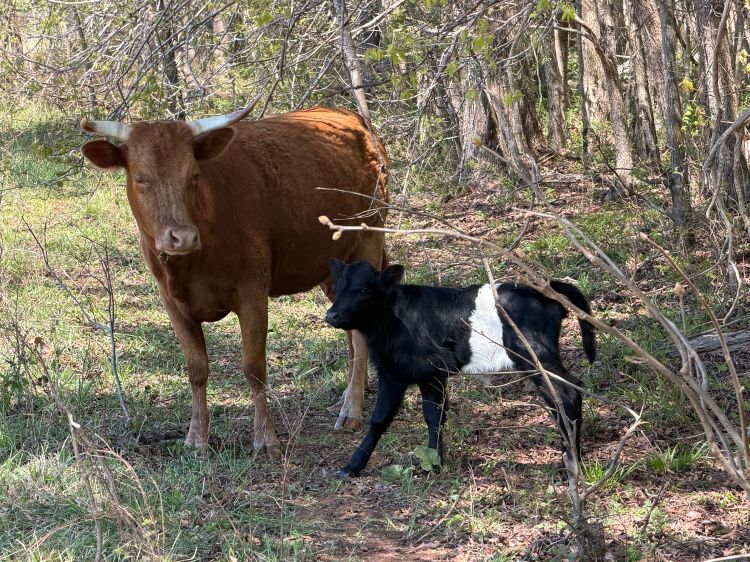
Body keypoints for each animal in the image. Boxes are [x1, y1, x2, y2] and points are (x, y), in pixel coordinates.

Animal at [80, 101, 388, 457]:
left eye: (193, 175)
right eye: (141, 179)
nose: (182, 237)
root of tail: (351, 117)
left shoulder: (252, 289)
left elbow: (253, 367)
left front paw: (265, 438)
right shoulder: (172, 301)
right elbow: (196, 368)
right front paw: (196, 438)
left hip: (369, 239)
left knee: (361, 334)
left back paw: (352, 409)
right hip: (331, 267)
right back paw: (350, 396)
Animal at [324, 260, 596, 477]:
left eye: (363, 290)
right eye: (337, 288)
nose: (331, 315)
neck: (392, 318)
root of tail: (543, 291)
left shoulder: (404, 373)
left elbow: (384, 419)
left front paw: (352, 467)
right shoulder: (423, 375)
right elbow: (429, 417)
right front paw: (434, 464)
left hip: (535, 355)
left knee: (566, 394)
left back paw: (572, 464)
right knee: (563, 396)